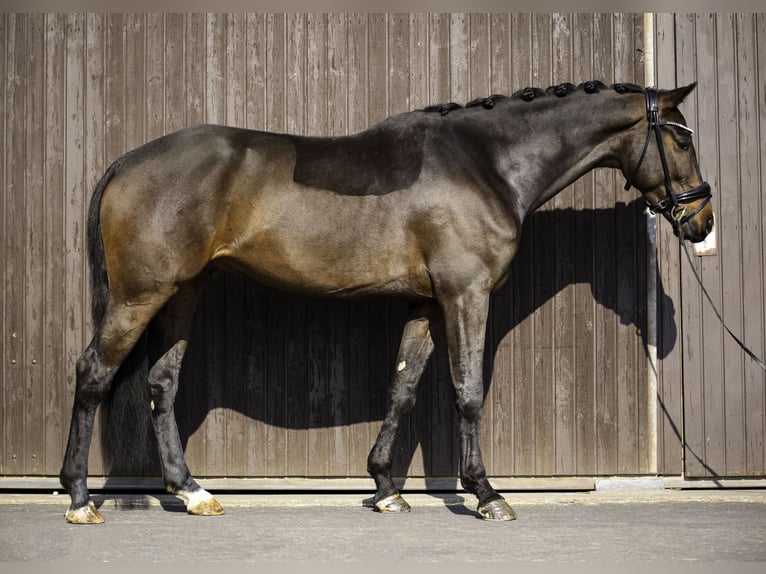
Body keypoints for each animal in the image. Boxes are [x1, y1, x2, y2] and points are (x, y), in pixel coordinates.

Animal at [60, 81, 712, 528]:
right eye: (681, 137)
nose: (701, 221)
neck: (487, 164)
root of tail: (127, 163)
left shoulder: (426, 304)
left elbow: (403, 386)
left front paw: (384, 488)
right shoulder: (465, 295)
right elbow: (467, 391)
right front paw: (486, 494)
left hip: (183, 292)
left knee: (162, 383)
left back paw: (193, 491)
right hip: (140, 295)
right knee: (93, 373)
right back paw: (79, 497)